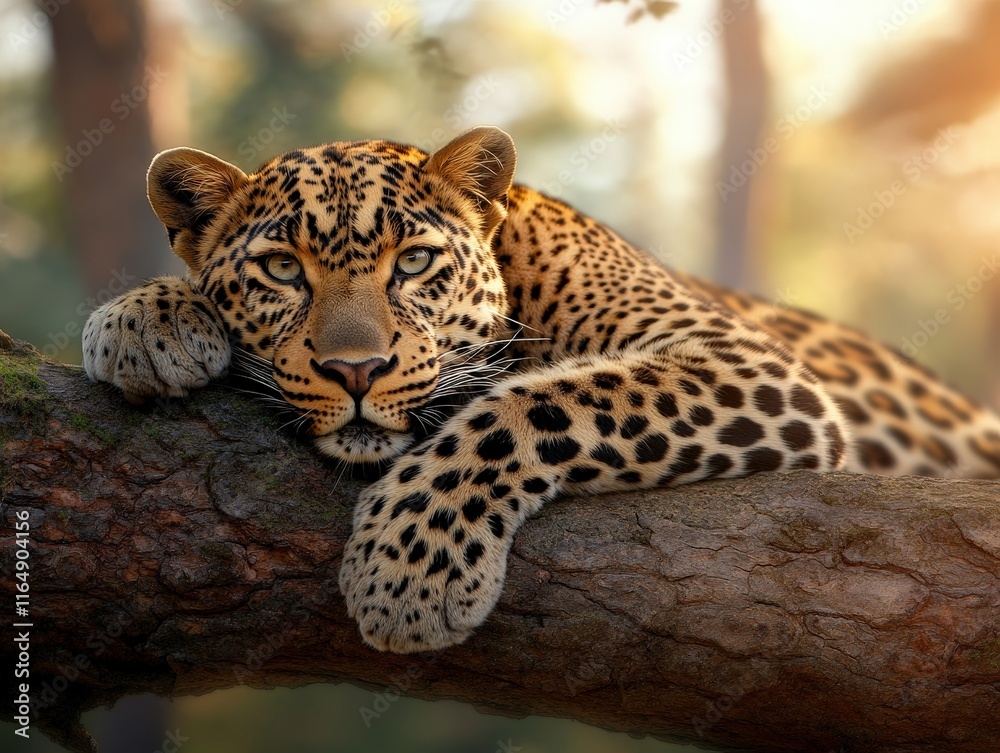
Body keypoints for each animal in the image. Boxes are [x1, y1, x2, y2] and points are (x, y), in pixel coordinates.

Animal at [82, 126, 1000, 654]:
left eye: (414, 262)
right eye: (281, 269)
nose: (356, 370)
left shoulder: (745, 361)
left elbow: (532, 403)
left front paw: (407, 572)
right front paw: (143, 318)